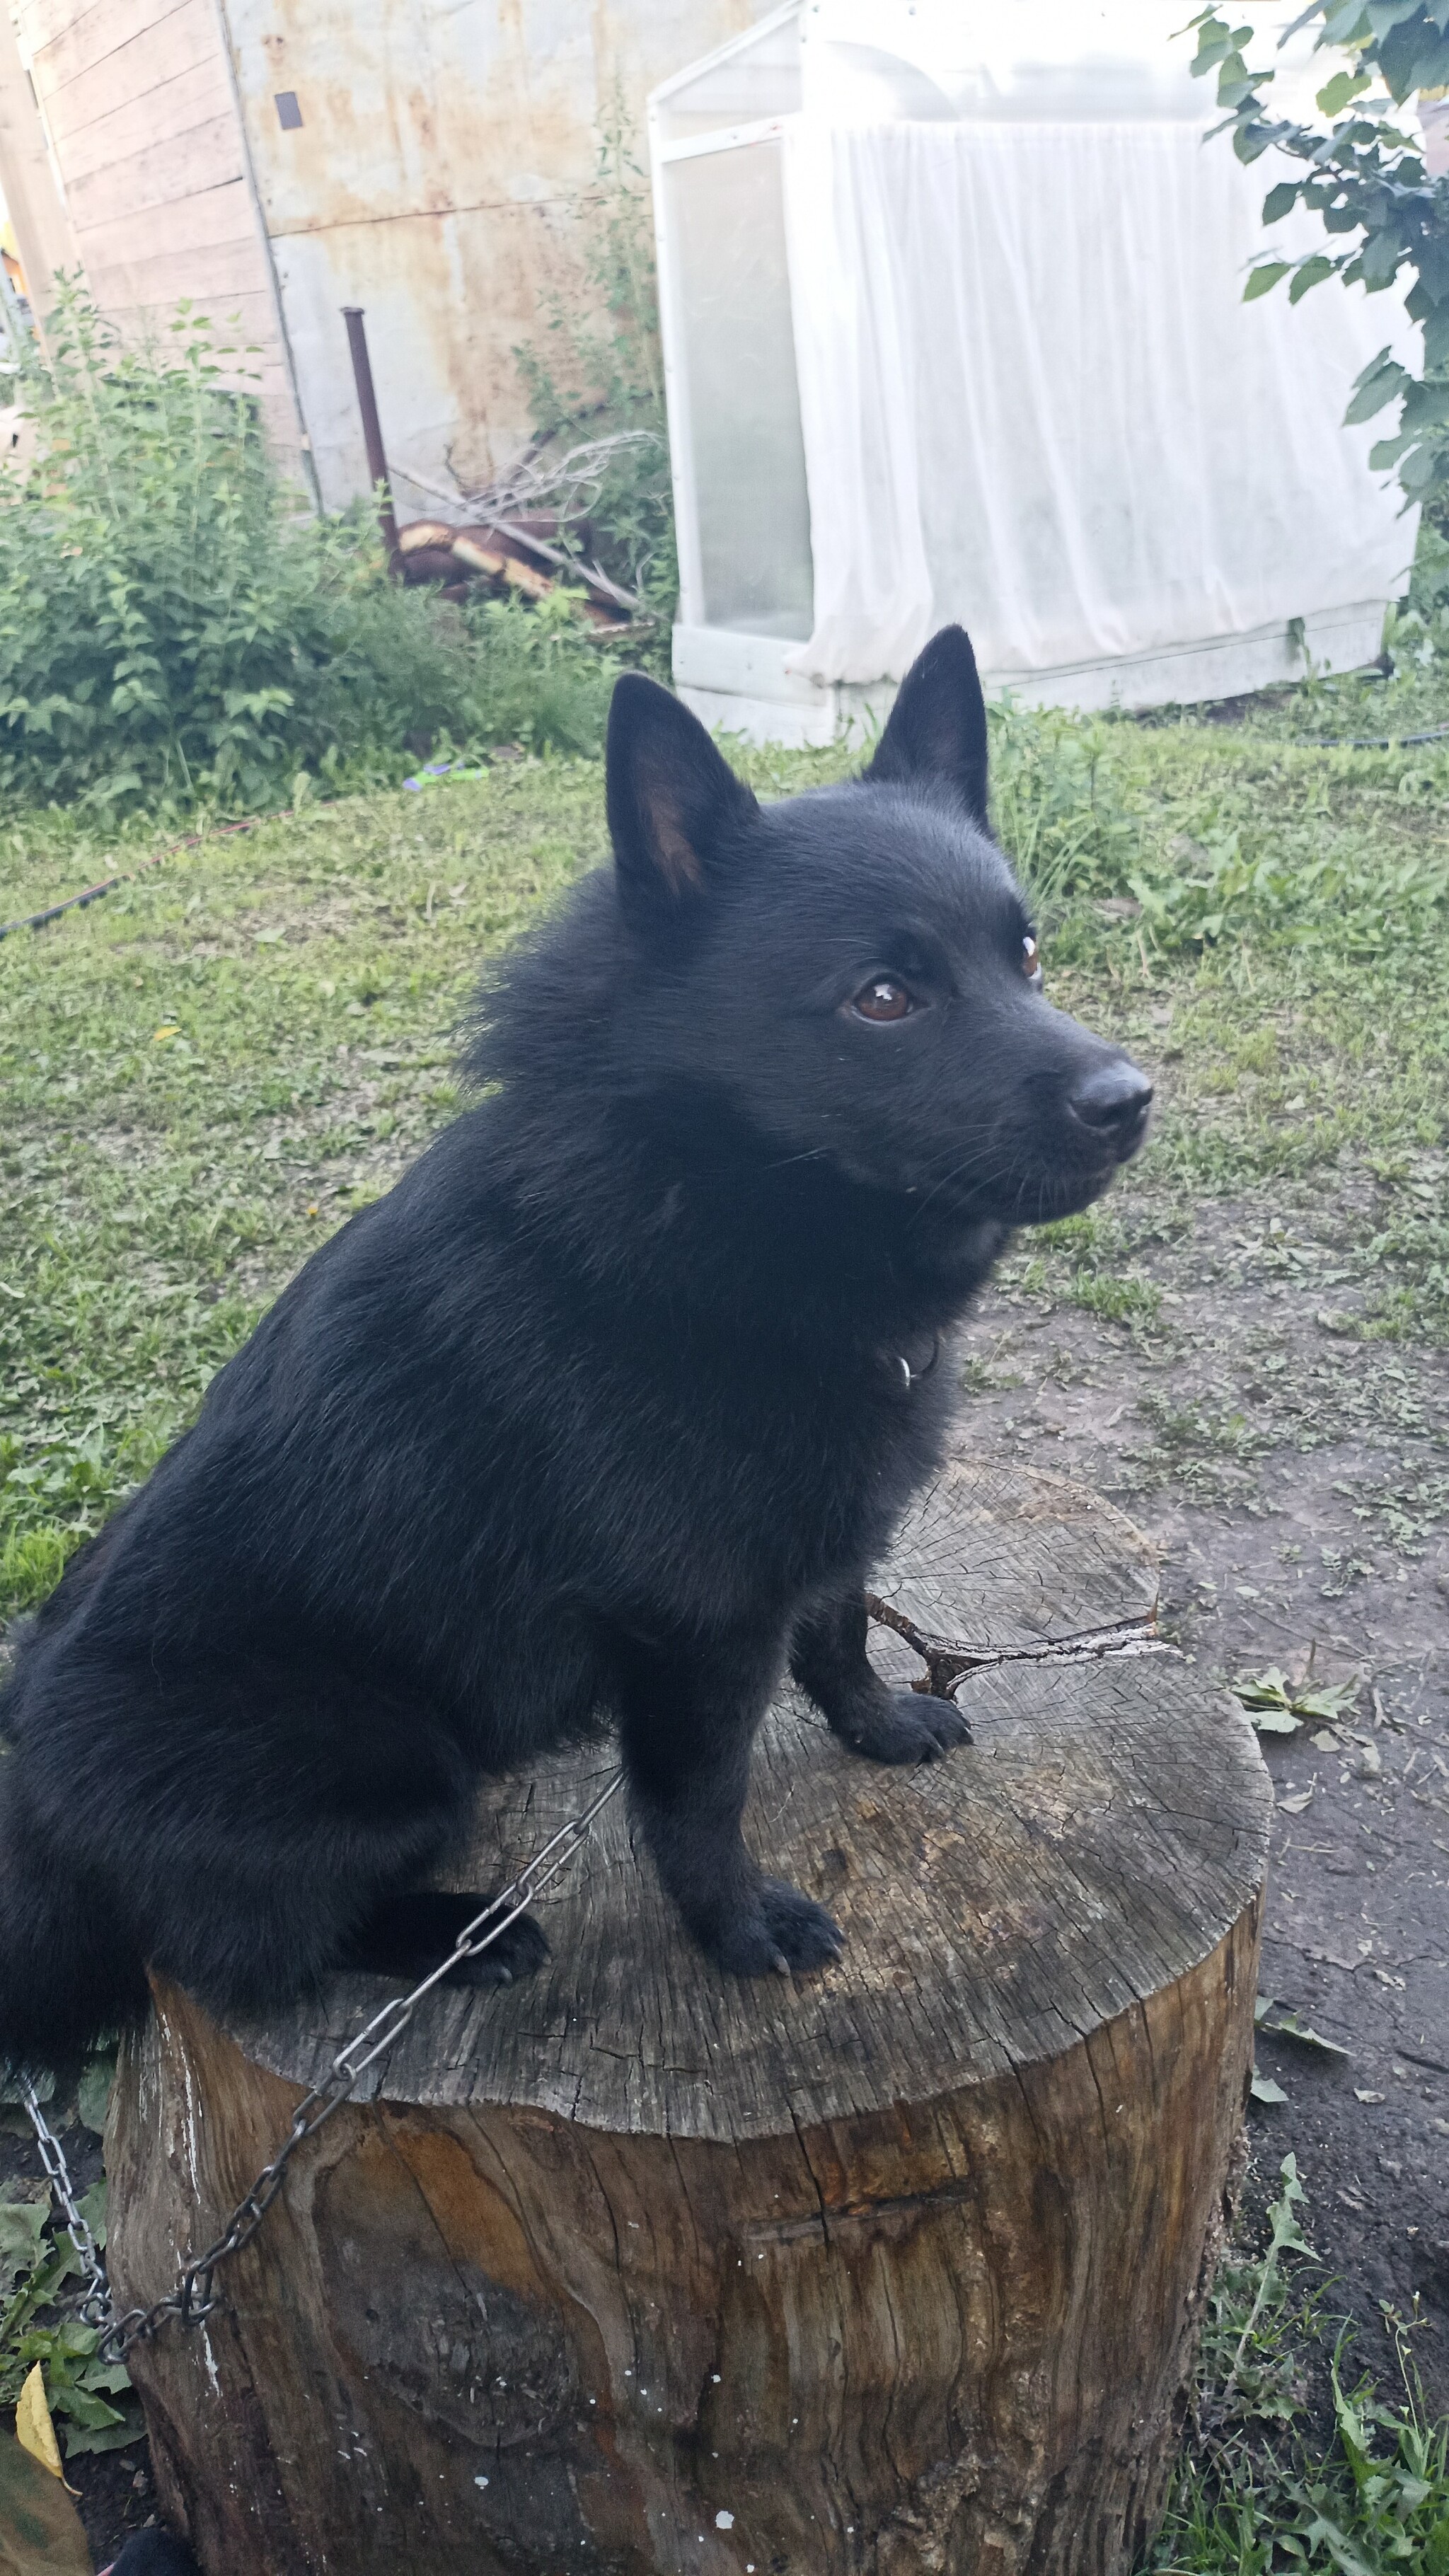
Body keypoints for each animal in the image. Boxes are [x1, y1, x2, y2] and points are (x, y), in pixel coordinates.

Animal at [0, 627, 1151, 2069]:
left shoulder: (817, 1538)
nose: (1132, 1102)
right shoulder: (693, 1635)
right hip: (393, 1755)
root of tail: (34, 1839)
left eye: (1028, 953)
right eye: (884, 997)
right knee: (245, 1947)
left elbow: (837, 1635)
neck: (704, 1218)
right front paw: (739, 1932)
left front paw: (879, 1724)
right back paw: (457, 1933)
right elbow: (699, 1806)